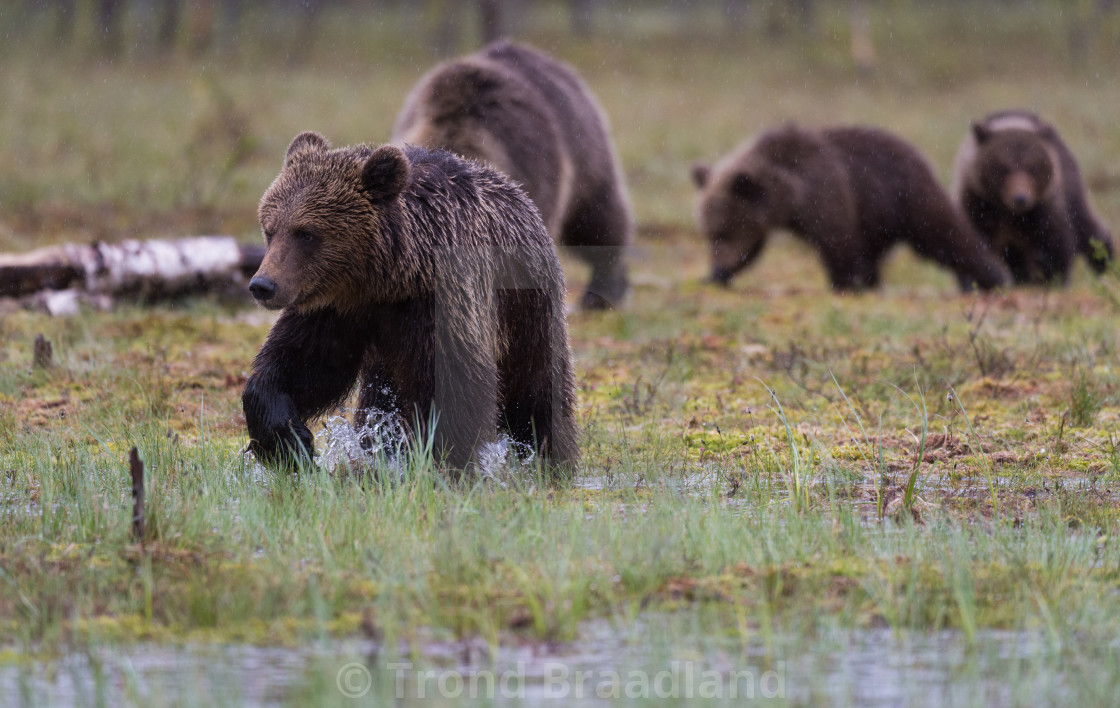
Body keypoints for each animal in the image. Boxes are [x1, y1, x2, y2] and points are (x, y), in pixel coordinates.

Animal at [685, 123, 1012, 291]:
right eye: (709, 233)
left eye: (722, 231)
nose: (717, 268)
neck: (788, 197)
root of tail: (915, 151)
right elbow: (753, 248)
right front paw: (715, 276)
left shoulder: (827, 192)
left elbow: (838, 242)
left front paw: (844, 283)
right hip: (877, 217)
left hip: (906, 197)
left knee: (945, 234)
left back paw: (992, 277)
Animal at [949, 108, 1115, 284]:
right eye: (1003, 168)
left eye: (1032, 168)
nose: (1020, 198)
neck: (1009, 214)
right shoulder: (978, 205)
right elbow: (972, 245)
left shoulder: (1044, 209)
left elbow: (1054, 247)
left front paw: (1051, 280)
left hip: (1072, 189)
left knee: (1088, 229)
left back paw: (1106, 265)